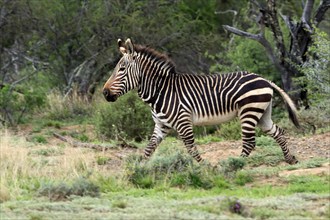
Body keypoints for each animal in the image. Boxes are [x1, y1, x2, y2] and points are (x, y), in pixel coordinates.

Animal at [104, 38, 300, 164]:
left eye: (121, 69)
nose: (105, 93)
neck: (161, 91)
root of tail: (265, 79)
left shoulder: (183, 121)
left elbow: (190, 147)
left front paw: (204, 167)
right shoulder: (161, 125)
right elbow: (149, 149)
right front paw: (139, 171)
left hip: (249, 111)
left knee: (249, 142)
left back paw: (235, 165)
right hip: (262, 114)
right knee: (278, 132)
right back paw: (290, 159)